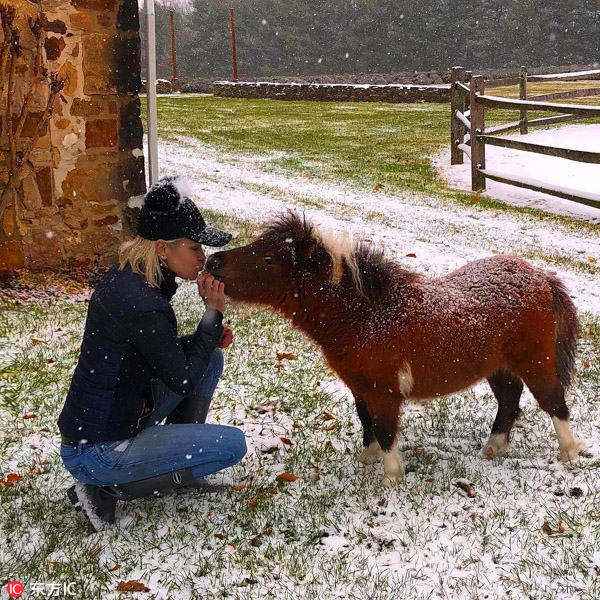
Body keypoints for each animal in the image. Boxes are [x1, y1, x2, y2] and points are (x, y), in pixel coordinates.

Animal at [209, 213, 584, 486]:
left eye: (269, 258)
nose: (212, 263)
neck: (366, 316)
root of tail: (540, 276)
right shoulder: (359, 387)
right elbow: (367, 422)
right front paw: (368, 459)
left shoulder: (383, 390)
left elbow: (385, 428)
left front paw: (391, 477)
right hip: (499, 367)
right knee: (509, 399)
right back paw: (494, 447)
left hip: (535, 361)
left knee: (553, 402)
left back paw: (569, 453)